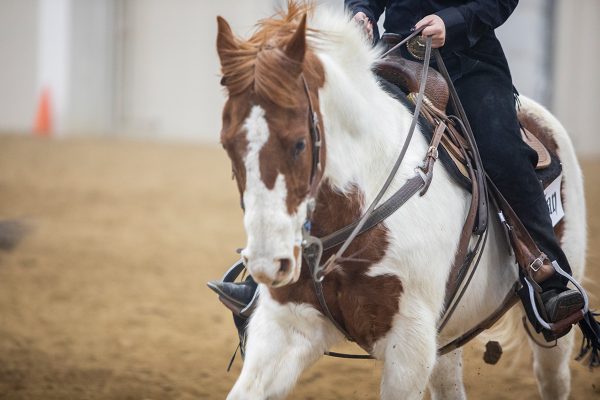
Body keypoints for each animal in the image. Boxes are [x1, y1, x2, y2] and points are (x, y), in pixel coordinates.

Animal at [214, 3, 584, 400]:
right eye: (227, 144)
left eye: (299, 143)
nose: (269, 263)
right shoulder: (286, 326)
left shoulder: (409, 347)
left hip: (553, 324)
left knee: (553, 372)